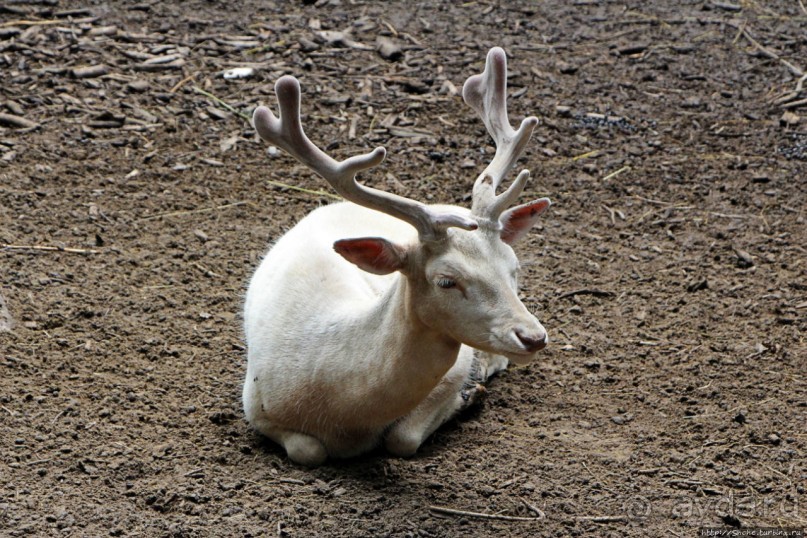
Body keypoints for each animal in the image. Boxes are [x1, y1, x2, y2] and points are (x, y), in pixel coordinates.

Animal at [243, 47, 552, 464]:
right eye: (446, 280)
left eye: (514, 268)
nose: (533, 336)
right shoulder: (254, 403)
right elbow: (308, 450)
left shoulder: (453, 369)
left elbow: (402, 438)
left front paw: (468, 396)